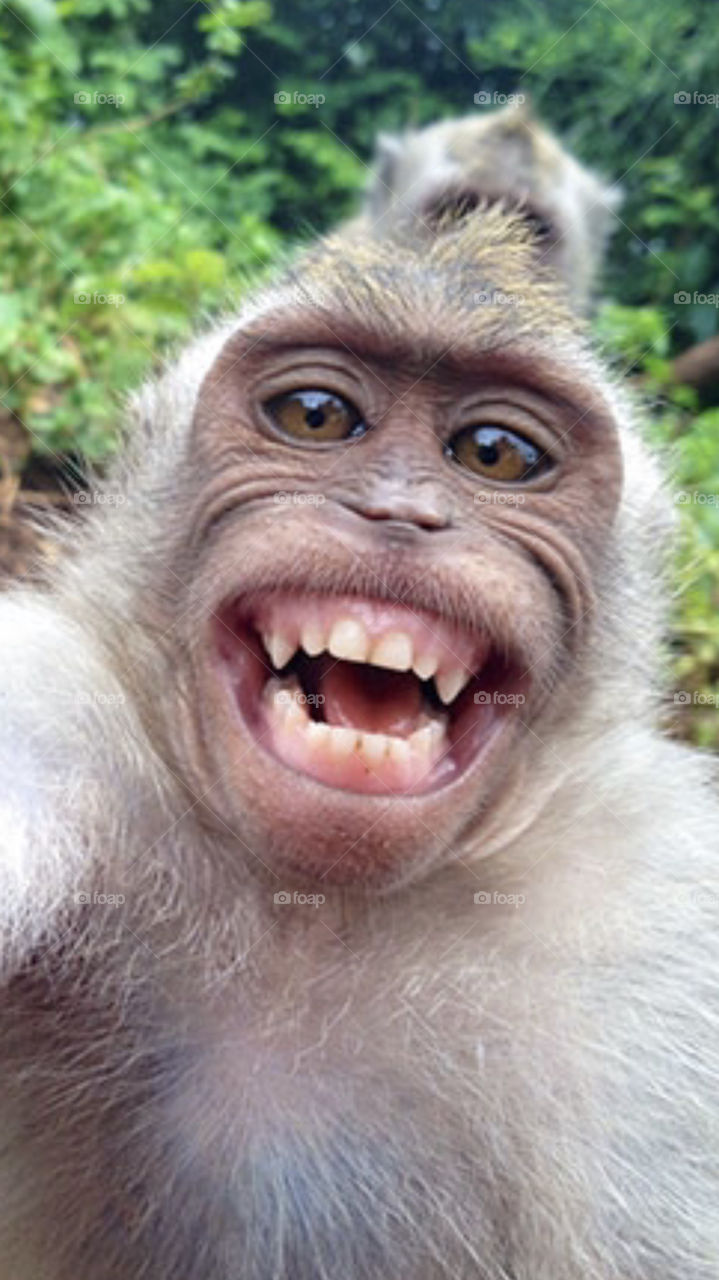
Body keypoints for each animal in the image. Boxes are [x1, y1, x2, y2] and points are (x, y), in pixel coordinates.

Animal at [0, 204, 718, 1280]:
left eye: (495, 453)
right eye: (315, 416)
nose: (399, 513)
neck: (316, 911)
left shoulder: (670, 937)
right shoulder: (53, 719)